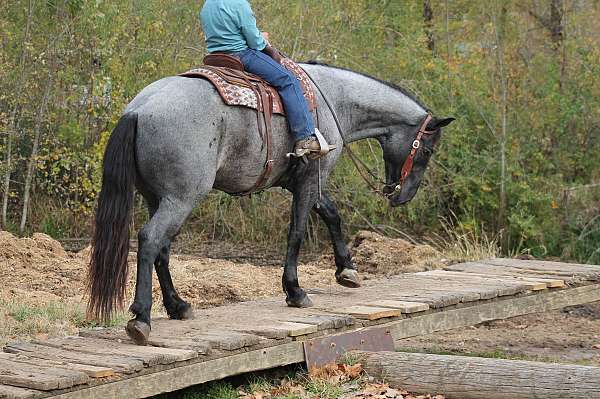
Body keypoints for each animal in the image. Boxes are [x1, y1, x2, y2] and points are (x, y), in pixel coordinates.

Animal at [88, 61, 454, 346]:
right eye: (427, 150)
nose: (401, 195)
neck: (333, 98)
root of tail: (138, 109)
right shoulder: (310, 179)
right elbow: (297, 233)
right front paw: (295, 290)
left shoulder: (304, 181)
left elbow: (331, 214)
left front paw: (346, 269)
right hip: (181, 198)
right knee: (151, 241)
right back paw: (142, 318)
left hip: (159, 198)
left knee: (162, 248)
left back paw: (178, 306)